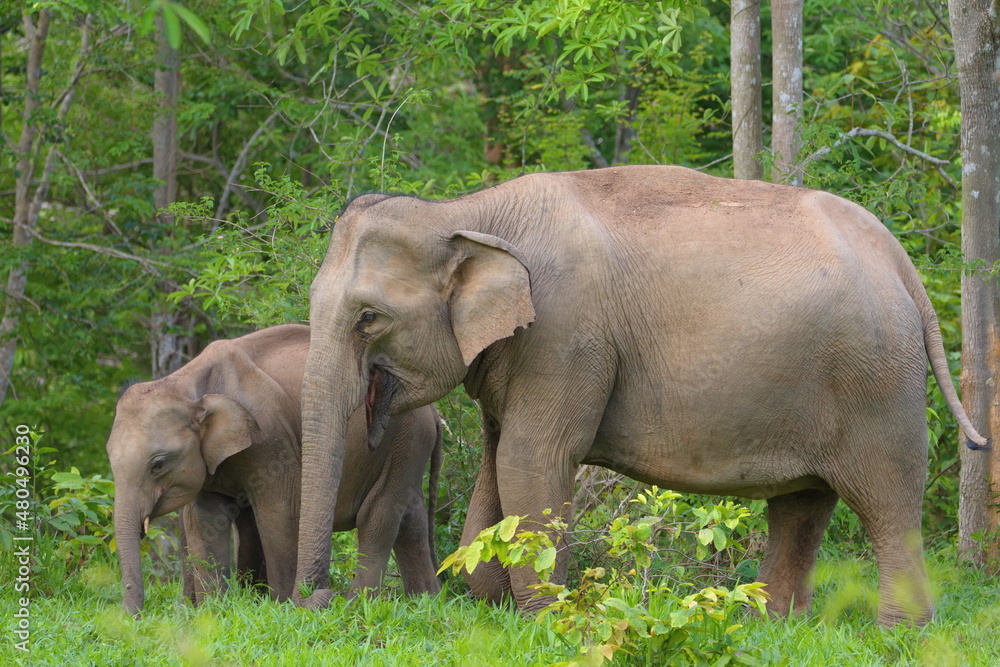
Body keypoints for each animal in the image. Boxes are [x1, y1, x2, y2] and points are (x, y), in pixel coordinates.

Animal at [105, 324, 442, 616]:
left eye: (158, 464)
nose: (132, 617)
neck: (186, 383)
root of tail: (434, 412)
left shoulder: (269, 437)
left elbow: (278, 513)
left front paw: (282, 607)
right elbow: (205, 520)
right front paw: (214, 612)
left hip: (405, 437)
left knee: (377, 517)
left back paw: (357, 604)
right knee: (410, 521)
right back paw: (426, 600)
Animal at [292, 167, 988, 628]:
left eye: (368, 319)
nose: (320, 600)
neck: (465, 211)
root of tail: (898, 258)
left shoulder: (565, 335)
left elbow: (532, 457)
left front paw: (547, 620)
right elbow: (497, 460)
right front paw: (490, 600)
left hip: (878, 381)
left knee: (886, 499)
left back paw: (900, 633)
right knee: (802, 505)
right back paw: (771, 625)